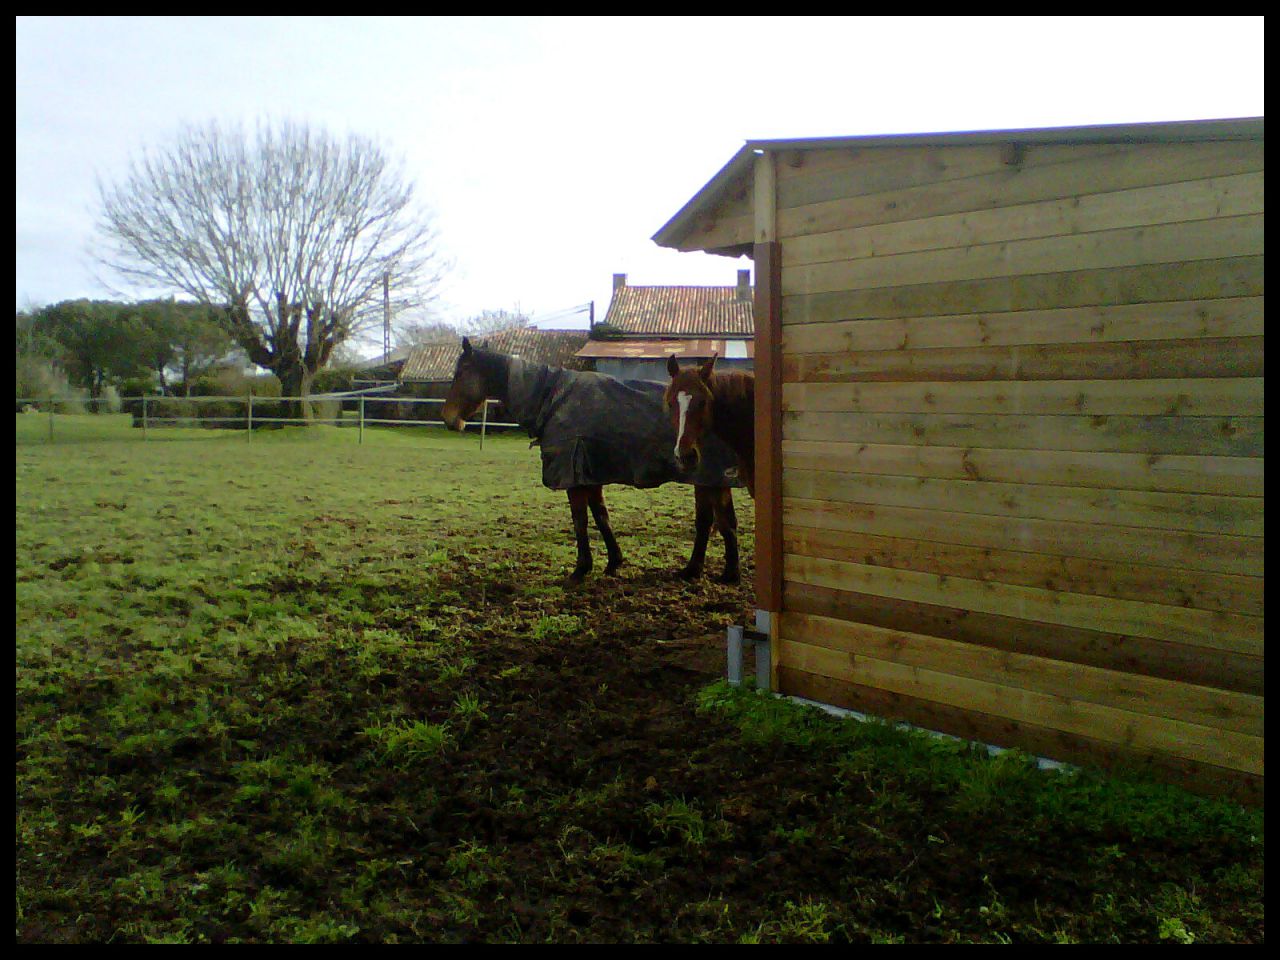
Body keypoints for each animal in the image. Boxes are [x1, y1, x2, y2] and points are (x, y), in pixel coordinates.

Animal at [440, 337, 743, 584]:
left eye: (461, 372)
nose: (449, 418)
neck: (554, 397)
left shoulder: (575, 477)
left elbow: (581, 521)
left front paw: (581, 569)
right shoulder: (590, 474)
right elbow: (601, 516)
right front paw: (613, 562)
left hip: (711, 479)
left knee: (721, 523)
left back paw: (726, 574)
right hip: (706, 480)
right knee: (710, 523)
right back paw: (695, 570)